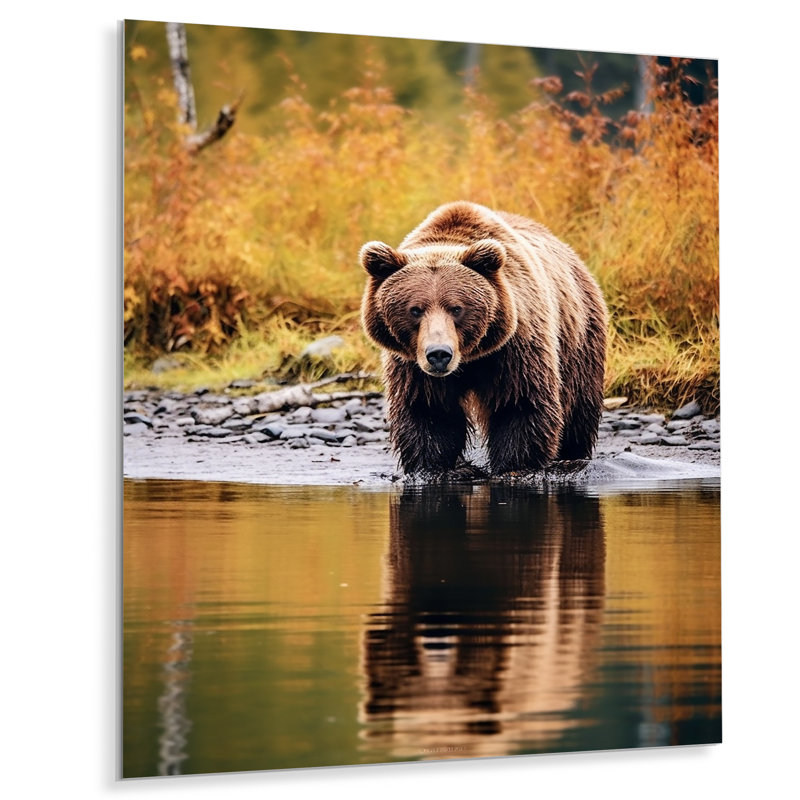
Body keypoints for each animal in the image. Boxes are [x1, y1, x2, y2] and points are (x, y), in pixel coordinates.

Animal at [360, 201, 607, 475]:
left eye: (456, 308)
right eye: (415, 309)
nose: (439, 354)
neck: (469, 358)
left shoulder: (515, 346)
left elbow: (518, 402)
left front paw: (514, 466)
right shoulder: (412, 363)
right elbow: (429, 409)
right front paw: (436, 467)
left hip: (578, 334)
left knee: (578, 402)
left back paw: (572, 454)